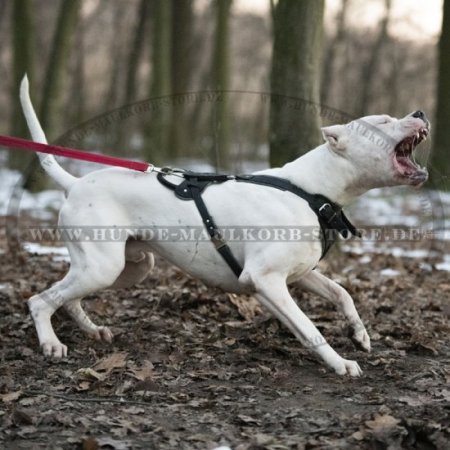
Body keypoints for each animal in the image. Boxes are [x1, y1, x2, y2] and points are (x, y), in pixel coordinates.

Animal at [20, 77, 428, 376]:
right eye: (381, 122)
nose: (421, 110)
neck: (310, 190)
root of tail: (75, 183)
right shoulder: (265, 281)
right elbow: (310, 328)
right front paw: (340, 363)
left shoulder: (299, 274)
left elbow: (343, 294)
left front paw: (360, 335)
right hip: (104, 266)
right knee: (41, 300)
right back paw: (51, 342)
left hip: (127, 267)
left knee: (68, 296)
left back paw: (91, 329)